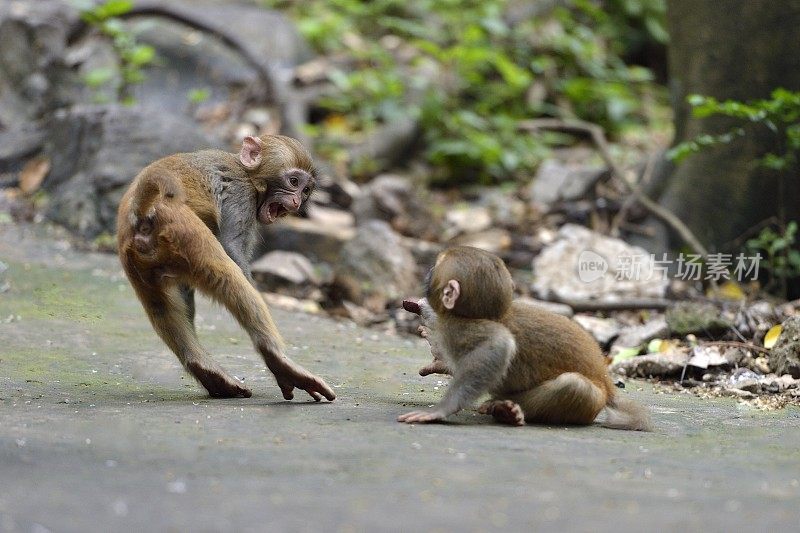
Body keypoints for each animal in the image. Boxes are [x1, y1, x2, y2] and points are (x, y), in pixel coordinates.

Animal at [115, 135, 334, 402]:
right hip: (184, 230)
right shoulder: (241, 196)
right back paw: (277, 360)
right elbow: (232, 247)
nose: (296, 201)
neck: (249, 173)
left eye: (306, 191)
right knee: (228, 276)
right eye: (294, 181)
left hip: (136, 259)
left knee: (160, 306)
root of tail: (143, 210)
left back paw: (206, 371)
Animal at [400, 247, 648, 430]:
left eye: (436, 266)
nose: (427, 271)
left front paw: (439, 411)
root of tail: (606, 379)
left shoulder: (459, 327)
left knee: (575, 386)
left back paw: (505, 411)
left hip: (592, 402)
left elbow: (498, 345)